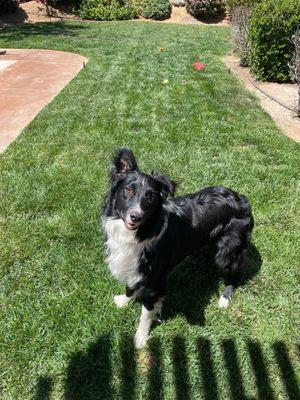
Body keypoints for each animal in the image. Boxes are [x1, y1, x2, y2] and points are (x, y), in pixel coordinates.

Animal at [102, 148, 254, 348]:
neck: (141, 232)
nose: (136, 216)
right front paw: (123, 300)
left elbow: (146, 311)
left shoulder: (154, 278)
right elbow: (130, 287)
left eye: (150, 196)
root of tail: (241, 198)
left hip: (227, 252)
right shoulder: (133, 266)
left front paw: (141, 337)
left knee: (234, 272)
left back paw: (225, 298)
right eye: (127, 190)